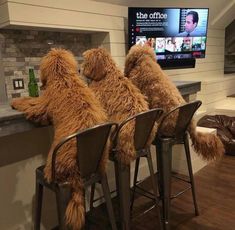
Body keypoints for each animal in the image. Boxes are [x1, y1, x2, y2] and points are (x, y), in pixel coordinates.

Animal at [10, 47, 106, 229]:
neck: (64, 76)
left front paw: (15, 101)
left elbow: (29, 103)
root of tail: (76, 171)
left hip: (50, 169)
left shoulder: (41, 105)